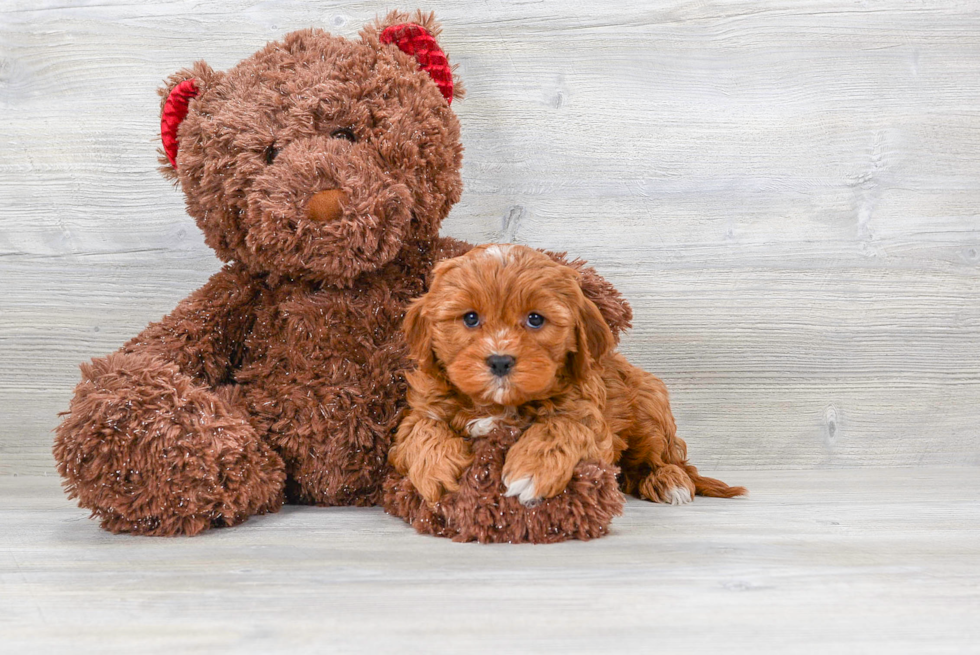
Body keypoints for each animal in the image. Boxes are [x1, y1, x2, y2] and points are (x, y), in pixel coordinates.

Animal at [386, 243, 748, 504]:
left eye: (535, 319)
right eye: (470, 318)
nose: (500, 361)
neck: (499, 405)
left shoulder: (590, 420)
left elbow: (562, 427)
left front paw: (532, 470)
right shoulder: (421, 408)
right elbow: (421, 429)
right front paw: (436, 471)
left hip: (649, 404)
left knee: (661, 459)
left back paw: (669, 481)